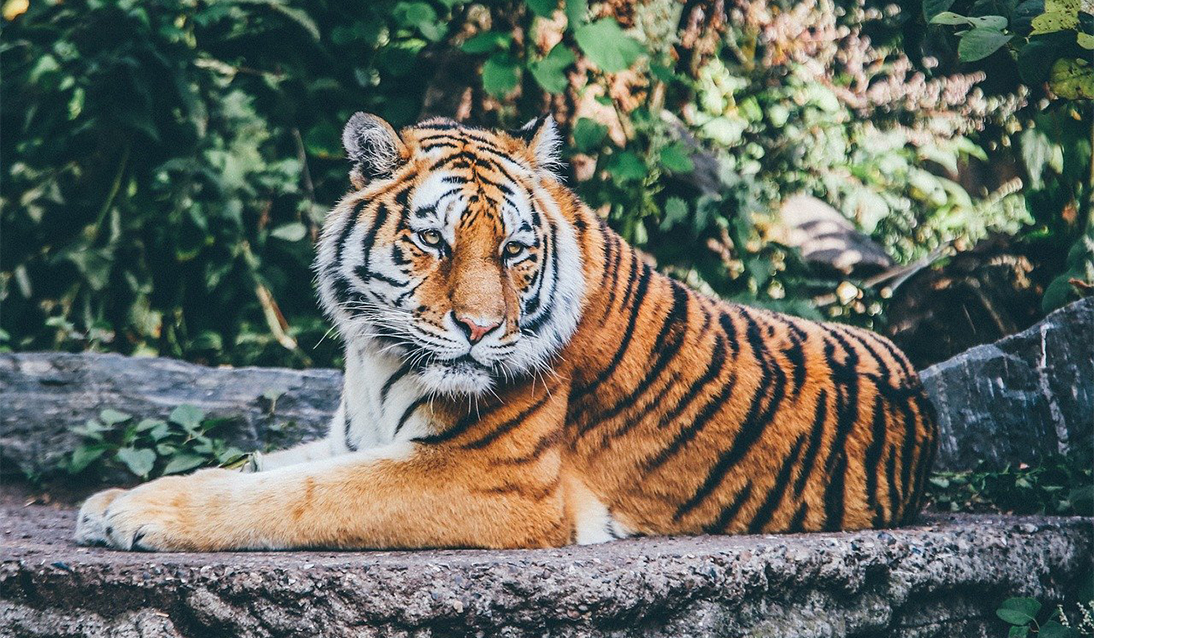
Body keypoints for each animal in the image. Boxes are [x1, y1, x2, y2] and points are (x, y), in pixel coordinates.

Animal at [72, 113, 936, 549]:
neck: (374, 354)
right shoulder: (355, 436)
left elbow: (295, 497)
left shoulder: (487, 476)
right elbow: (258, 466)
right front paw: (112, 499)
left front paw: (138, 516)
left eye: (516, 250)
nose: (482, 329)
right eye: (433, 240)